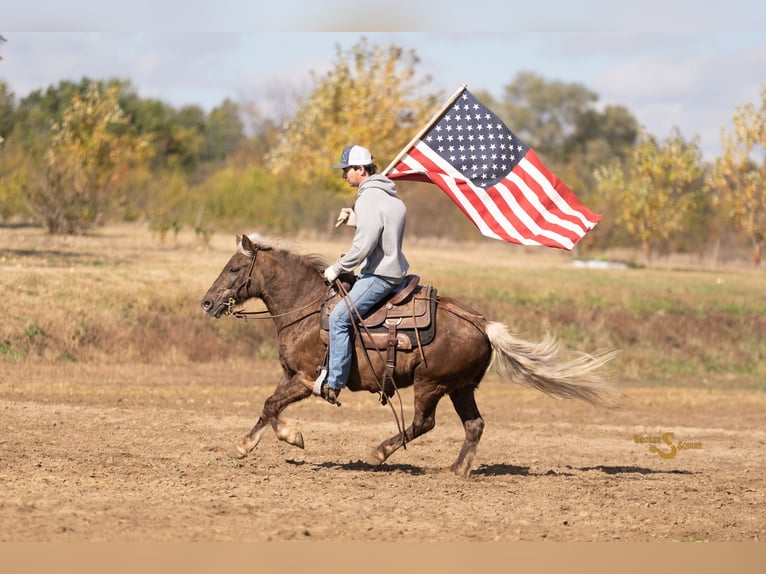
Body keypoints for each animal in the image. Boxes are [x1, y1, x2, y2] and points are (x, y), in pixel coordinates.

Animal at [200, 233, 619, 477]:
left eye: (234, 268)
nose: (206, 302)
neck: (306, 306)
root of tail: (481, 323)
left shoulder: (305, 379)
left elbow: (272, 405)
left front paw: (287, 438)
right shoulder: (290, 376)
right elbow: (267, 406)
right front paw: (248, 444)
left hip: (429, 384)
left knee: (423, 422)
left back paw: (379, 452)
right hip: (460, 387)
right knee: (474, 425)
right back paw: (456, 470)